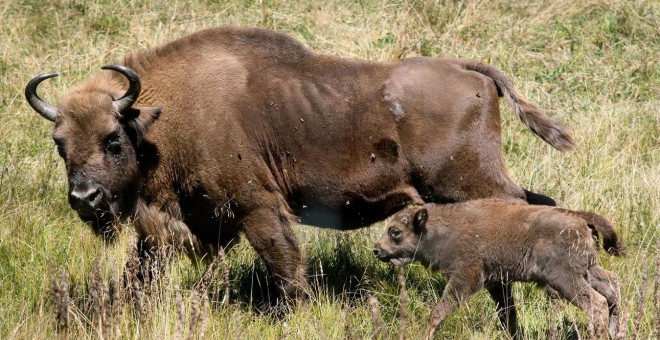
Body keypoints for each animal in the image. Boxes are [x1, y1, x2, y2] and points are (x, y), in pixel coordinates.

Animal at [25, 26, 572, 298]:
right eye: (59, 143)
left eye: (113, 139)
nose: (84, 197)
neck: (165, 114)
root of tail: (469, 71)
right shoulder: (191, 222)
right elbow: (140, 271)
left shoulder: (257, 208)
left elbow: (284, 264)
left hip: (468, 184)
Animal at [374, 199, 628, 340]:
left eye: (395, 232)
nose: (377, 250)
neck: (440, 229)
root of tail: (579, 217)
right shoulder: (496, 282)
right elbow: (507, 314)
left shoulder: (466, 277)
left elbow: (439, 310)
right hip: (588, 270)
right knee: (612, 285)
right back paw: (616, 332)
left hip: (565, 278)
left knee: (596, 302)